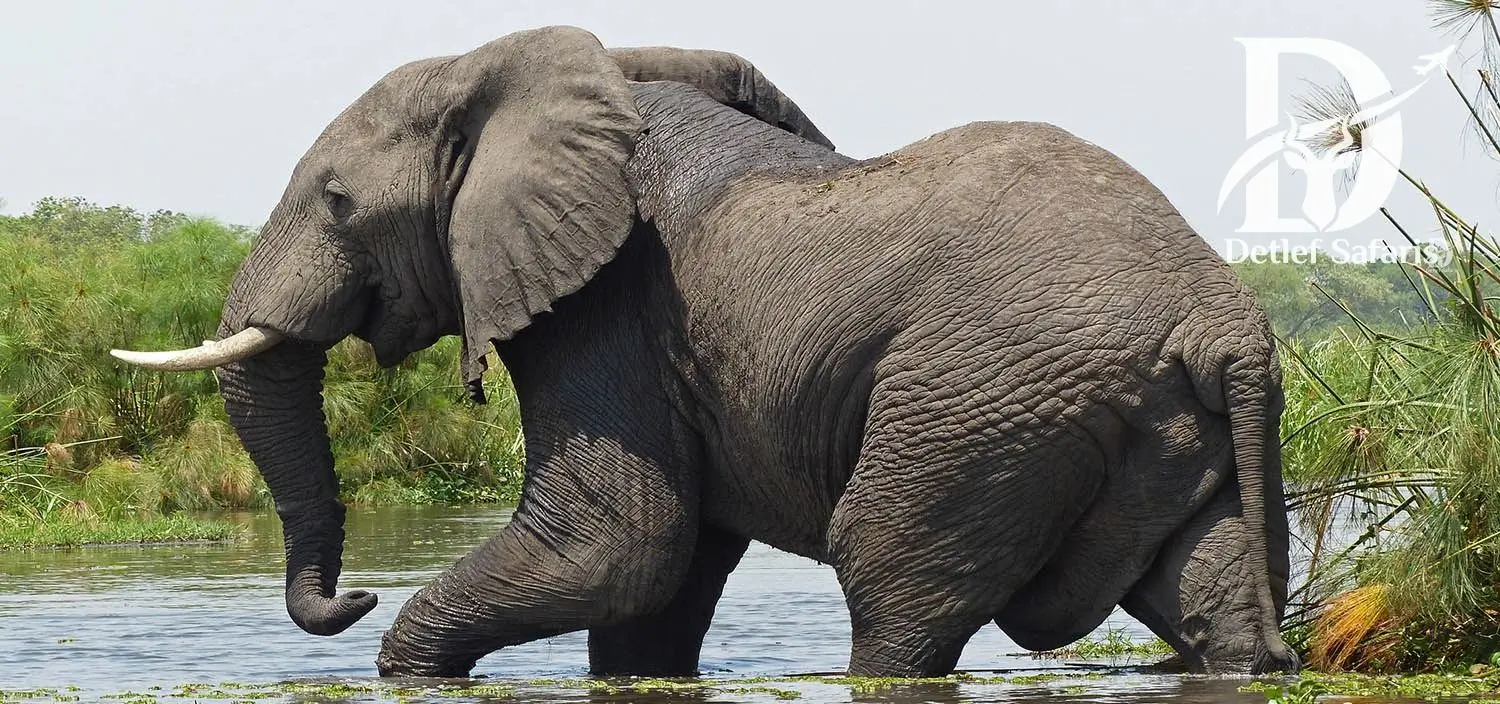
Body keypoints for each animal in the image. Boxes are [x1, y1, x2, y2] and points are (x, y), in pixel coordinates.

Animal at [113, 26, 1298, 679]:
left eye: (336, 201)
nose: (349, 595)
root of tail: (1222, 326)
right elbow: (657, 586)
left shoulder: (613, 306)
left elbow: (617, 540)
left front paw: (403, 663)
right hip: (1165, 424)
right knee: (1208, 589)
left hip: (983, 409)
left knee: (891, 585)